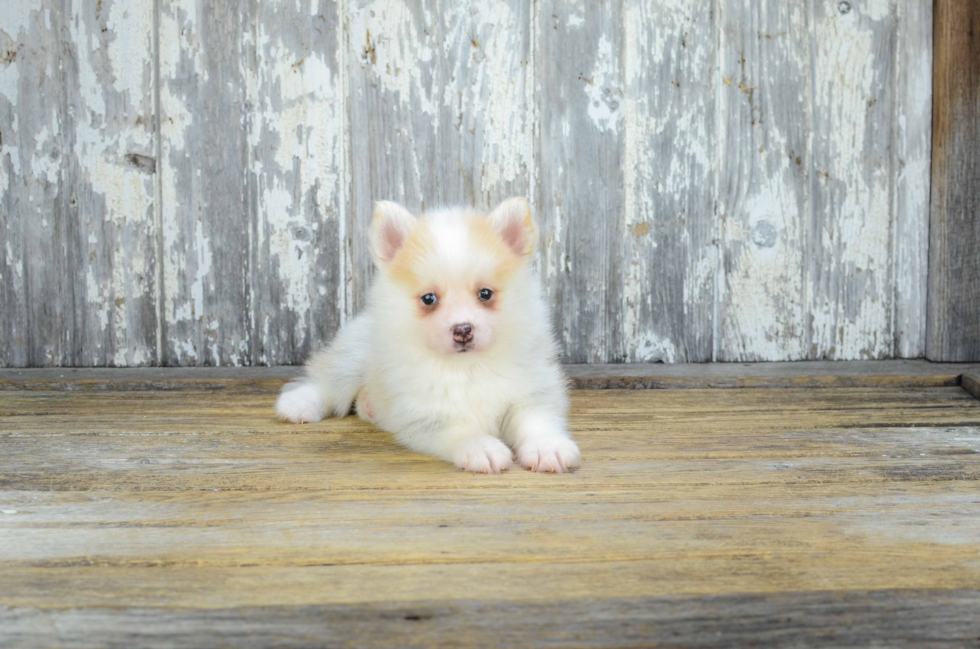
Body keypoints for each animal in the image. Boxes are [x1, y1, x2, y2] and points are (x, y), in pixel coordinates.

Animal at [274, 195, 580, 474]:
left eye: (485, 293)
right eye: (429, 299)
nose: (463, 329)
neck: (467, 368)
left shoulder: (532, 390)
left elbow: (536, 421)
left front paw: (547, 447)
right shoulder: (426, 416)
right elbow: (461, 430)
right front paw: (481, 447)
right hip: (354, 354)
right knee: (328, 383)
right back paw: (299, 404)